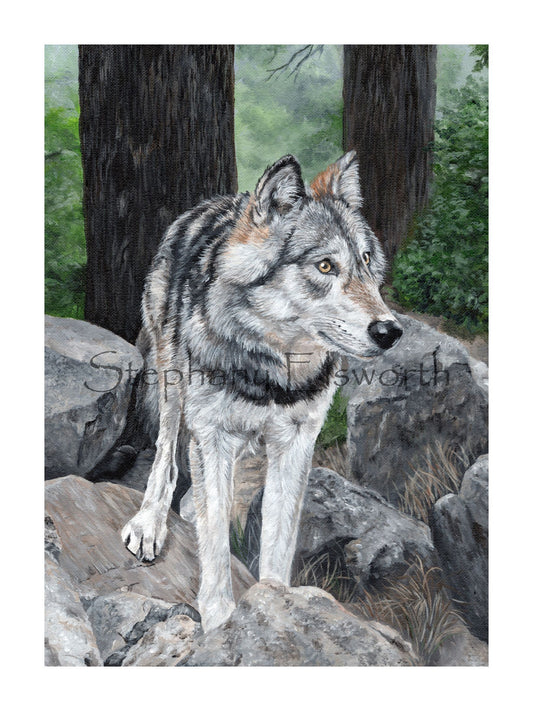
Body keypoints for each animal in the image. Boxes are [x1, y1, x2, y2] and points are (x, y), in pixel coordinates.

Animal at [121, 151, 403, 632]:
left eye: (367, 260)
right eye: (325, 266)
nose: (391, 331)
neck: (274, 372)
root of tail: (215, 202)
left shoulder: (297, 442)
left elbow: (277, 539)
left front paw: (277, 607)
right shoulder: (212, 433)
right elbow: (216, 542)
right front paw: (220, 622)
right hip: (172, 382)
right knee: (166, 454)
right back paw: (150, 522)